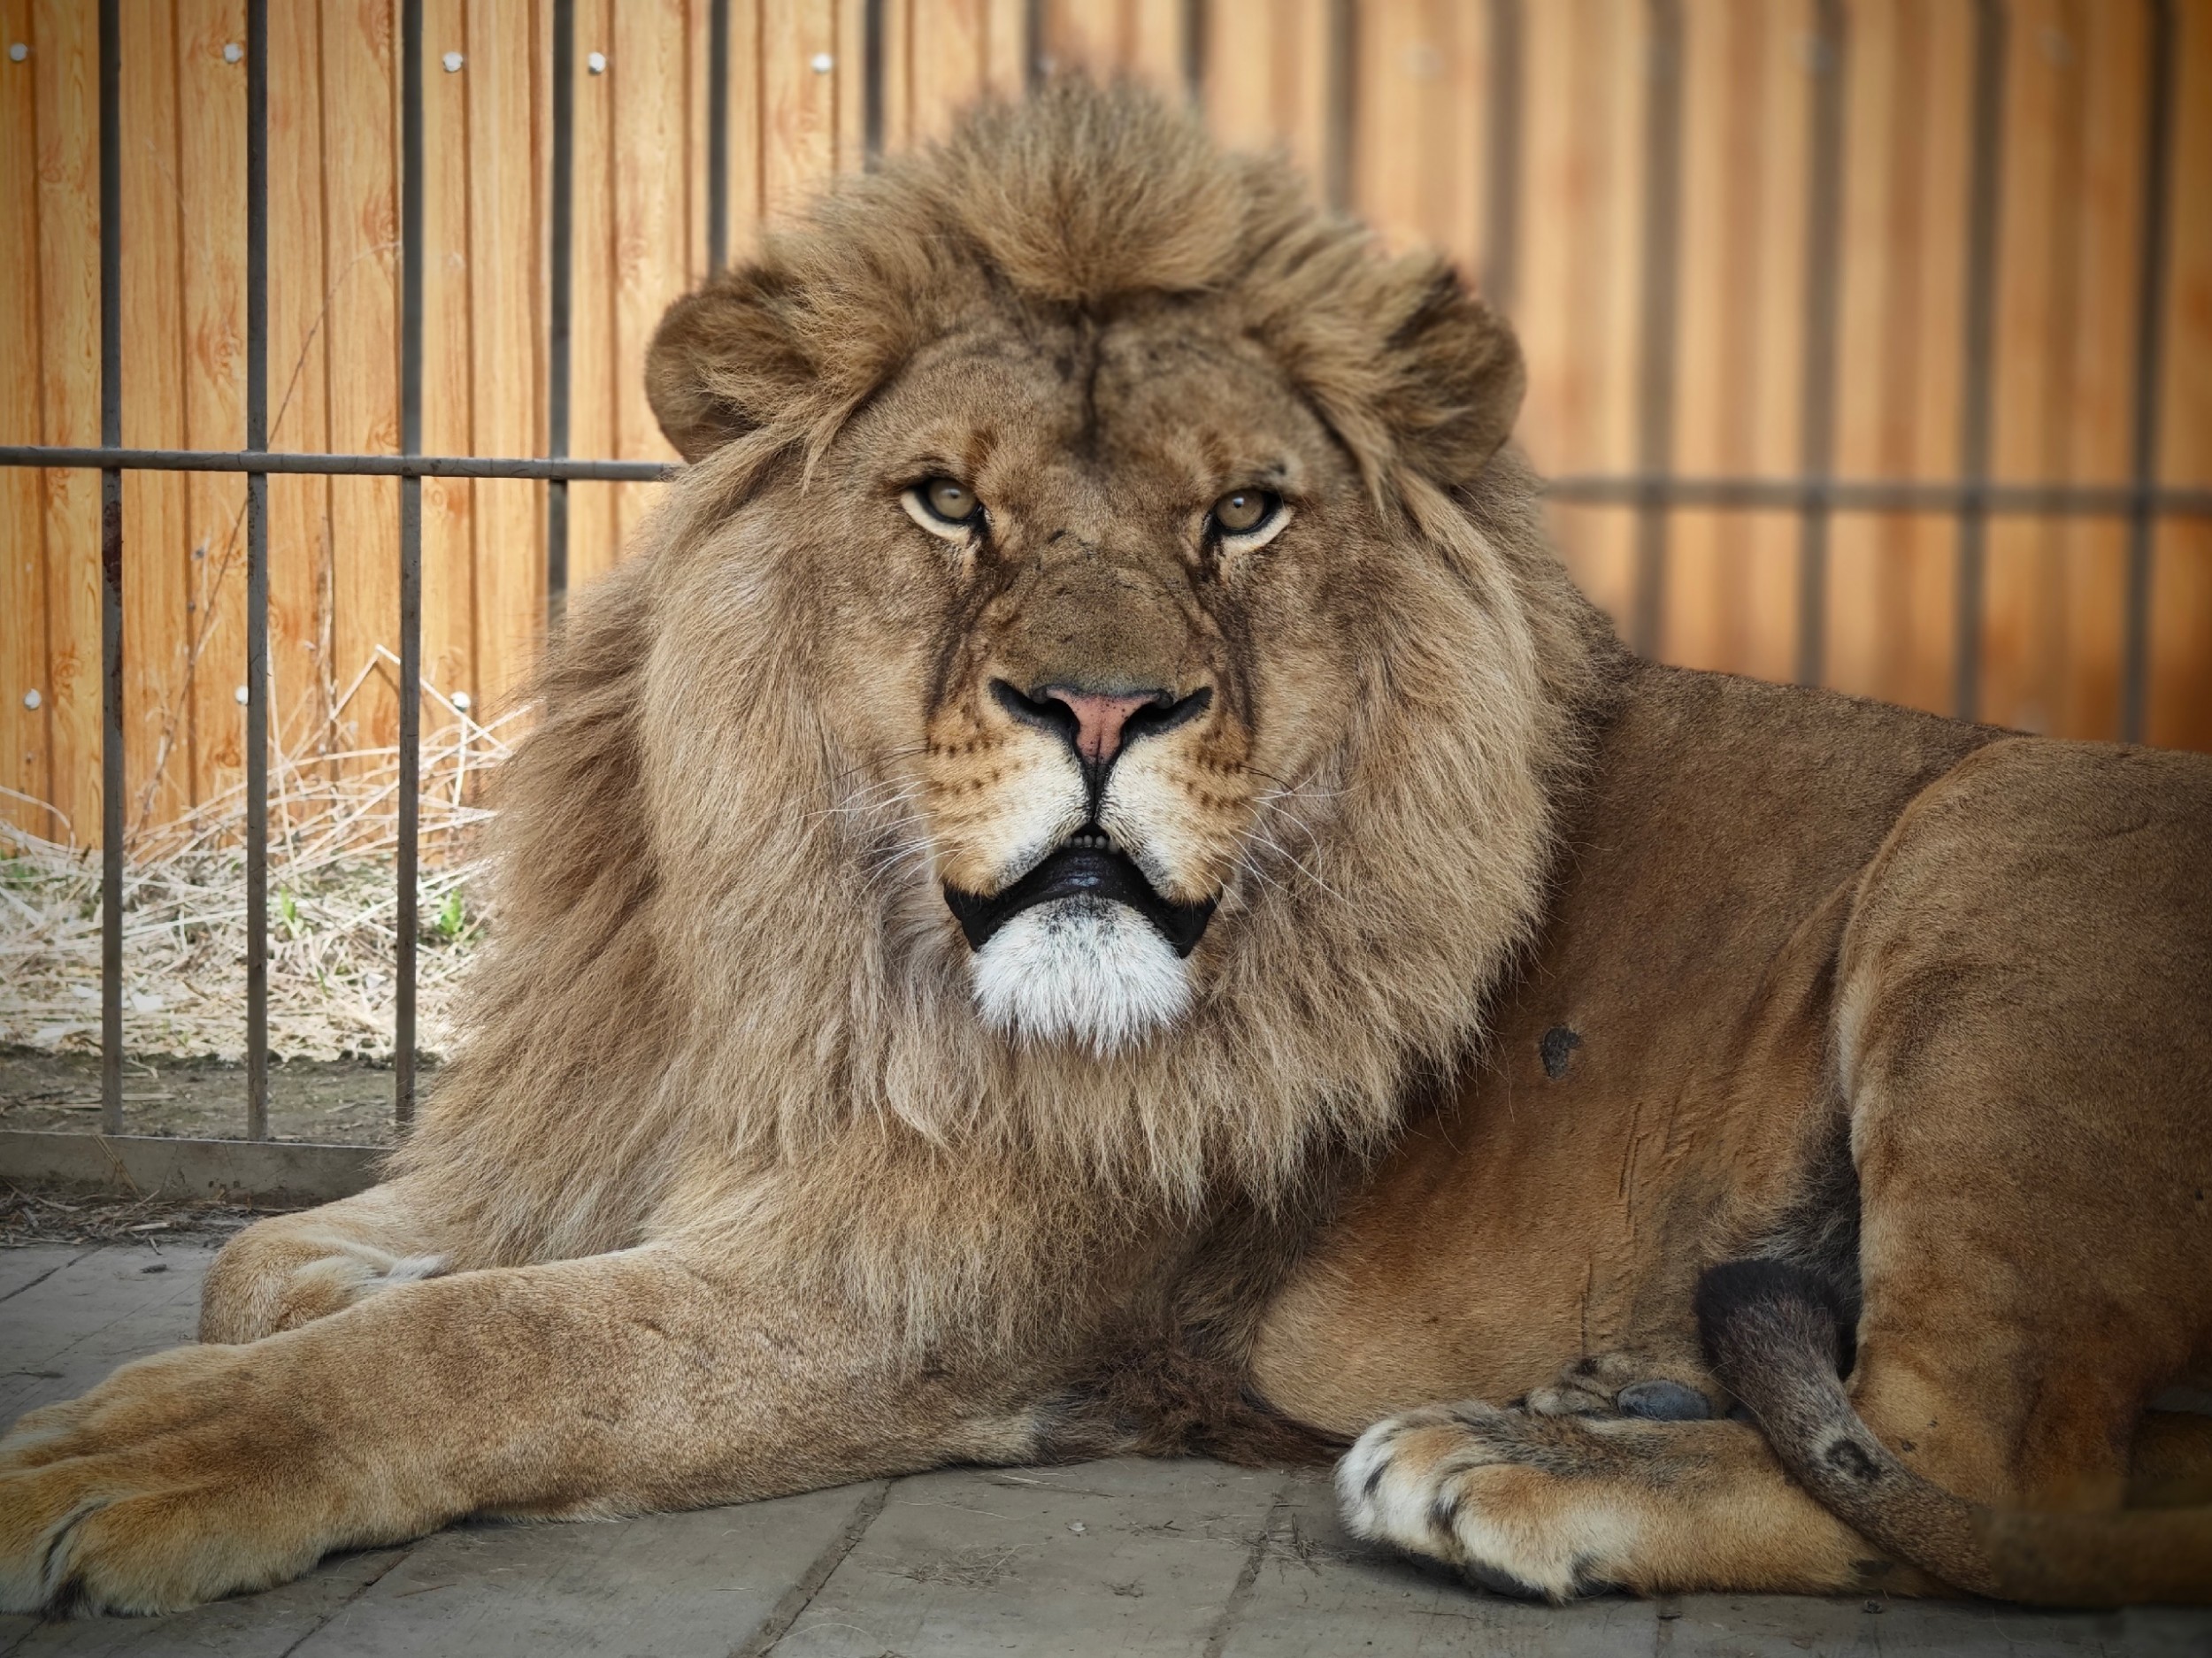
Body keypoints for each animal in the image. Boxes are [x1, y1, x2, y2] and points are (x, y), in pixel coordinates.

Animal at [3, 81, 2209, 1616]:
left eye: (1238, 512)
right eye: (942, 502)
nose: (1095, 710)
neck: (790, 928)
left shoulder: (915, 1297)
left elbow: (482, 1344)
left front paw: (150, 1460)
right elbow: (278, 1266)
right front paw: (304, 1301)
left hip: (1996, 857)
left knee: (1985, 1473)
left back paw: (1515, 1467)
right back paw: (1596, 1395)